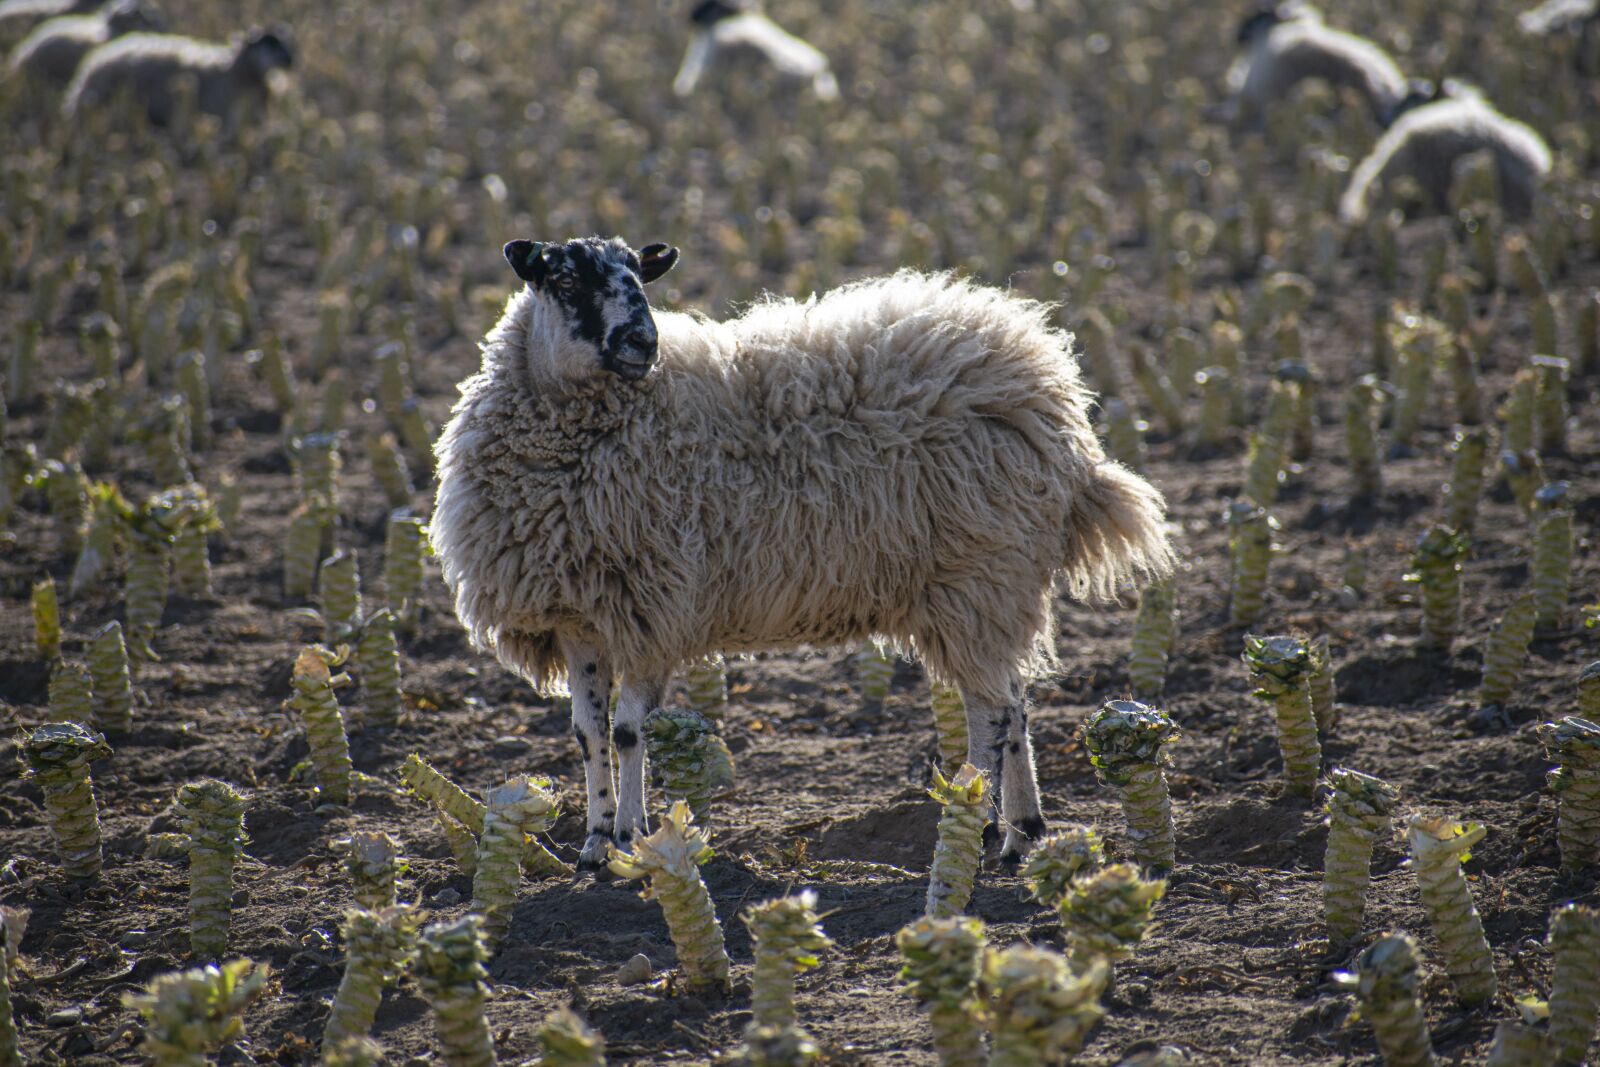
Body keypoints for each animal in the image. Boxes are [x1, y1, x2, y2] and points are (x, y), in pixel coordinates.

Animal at [431, 235, 1175, 870]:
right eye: (562, 279)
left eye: (641, 279)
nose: (644, 340)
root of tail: (1052, 394)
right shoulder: (580, 612)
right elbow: (589, 734)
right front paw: (593, 842)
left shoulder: (652, 605)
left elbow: (629, 733)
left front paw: (632, 839)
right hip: (985, 585)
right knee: (1012, 703)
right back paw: (1023, 831)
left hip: (980, 568)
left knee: (991, 714)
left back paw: (984, 827)